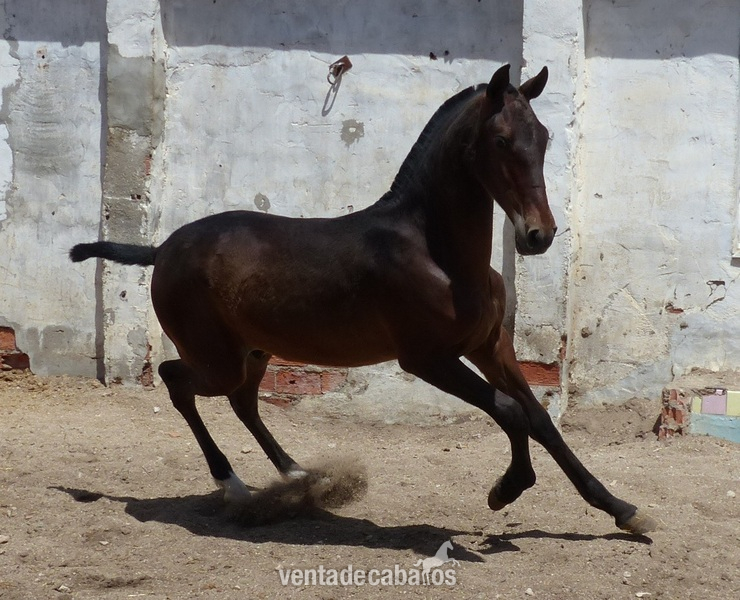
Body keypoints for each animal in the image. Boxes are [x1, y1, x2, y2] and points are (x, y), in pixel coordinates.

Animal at [70, 64, 656, 535]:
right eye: (500, 140)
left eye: (545, 137)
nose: (539, 235)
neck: (439, 254)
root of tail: (162, 248)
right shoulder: (428, 358)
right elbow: (512, 412)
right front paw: (505, 489)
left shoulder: (492, 349)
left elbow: (540, 419)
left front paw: (623, 510)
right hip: (216, 359)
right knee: (178, 382)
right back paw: (234, 484)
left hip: (252, 352)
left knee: (242, 401)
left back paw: (299, 475)